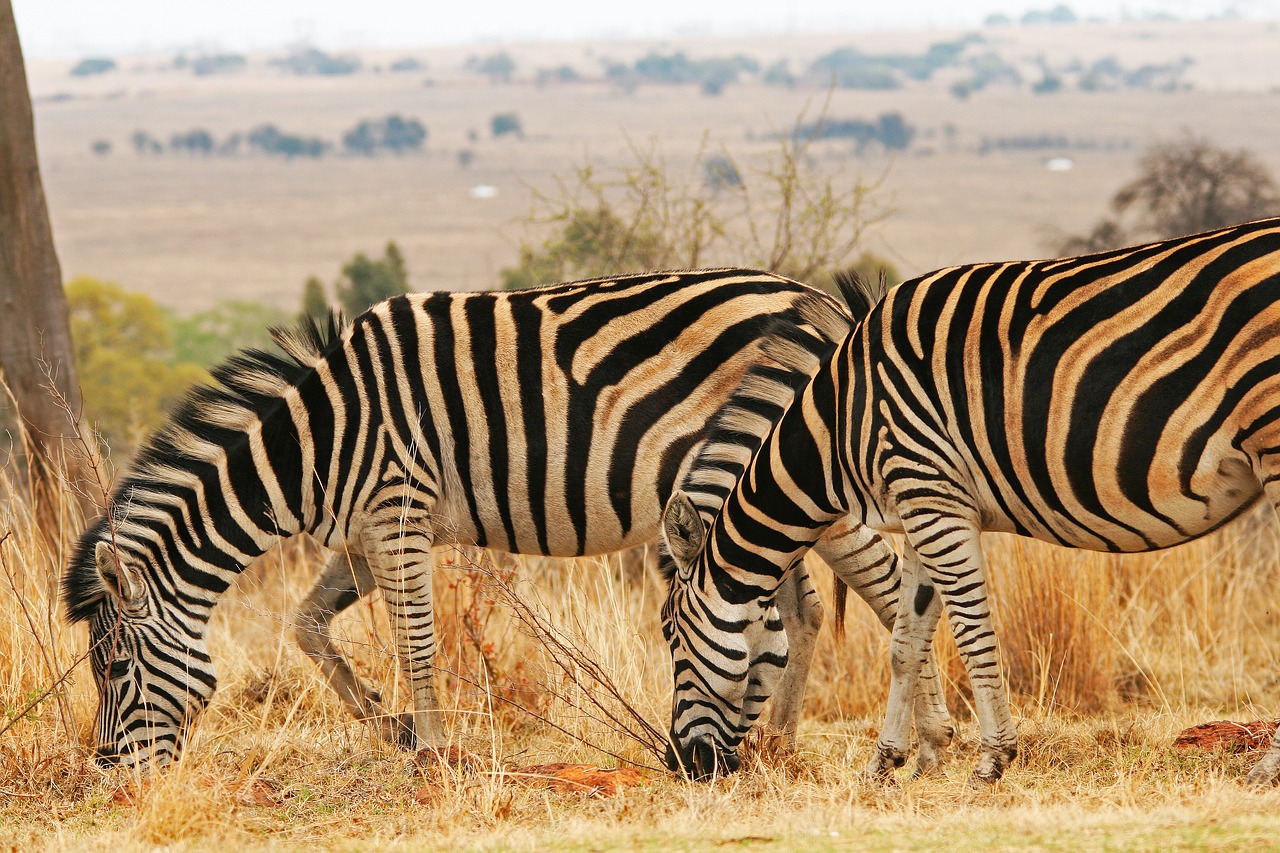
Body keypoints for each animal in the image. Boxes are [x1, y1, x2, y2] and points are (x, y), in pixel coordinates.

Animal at [67, 268, 952, 773]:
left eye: (113, 668)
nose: (112, 771)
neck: (318, 442)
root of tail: (816, 297)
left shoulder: (396, 510)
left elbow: (417, 641)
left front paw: (430, 751)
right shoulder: (360, 537)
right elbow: (306, 625)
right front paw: (389, 726)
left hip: (799, 463)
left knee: (891, 586)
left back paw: (930, 740)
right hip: (760, 485)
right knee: (806, 605)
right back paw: (783, 740)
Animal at [665, 217, 1280, 783]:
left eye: (672, 639)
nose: (683, 764)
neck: (836, 426)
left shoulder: (932, 499)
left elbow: (971, 630)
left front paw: (993, 758)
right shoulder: (921, 504)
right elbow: (906, 641)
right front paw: (888, 764)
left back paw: (1265, 770)